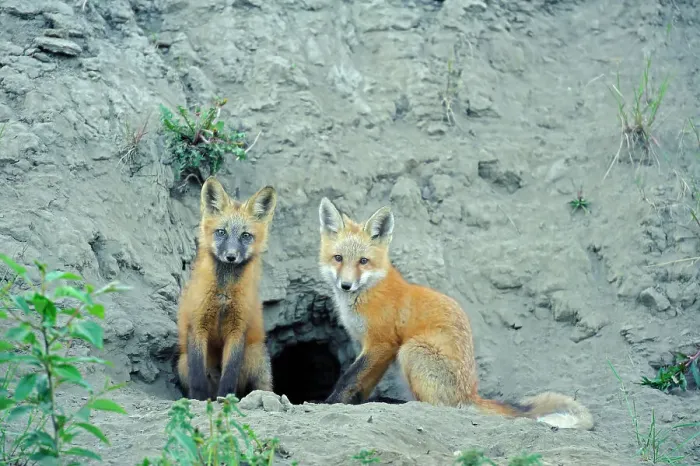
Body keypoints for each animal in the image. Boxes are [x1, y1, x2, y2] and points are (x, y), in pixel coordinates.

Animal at [176, 177, 277, 401]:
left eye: (245, 235)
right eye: (221, 232)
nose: (231, 256)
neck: (224, 294)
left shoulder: (238, 328)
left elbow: (229, 373)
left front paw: (225, 399)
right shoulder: (197, 324)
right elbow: (198, 376)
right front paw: (198, 399)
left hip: (254, 354)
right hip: (182, 364)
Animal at [317, 197, 594, 430]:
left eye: (363, 261)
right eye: (338, 258)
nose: (346, 285)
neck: (370, 291)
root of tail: (470, 394)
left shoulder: (382, 343)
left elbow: (350, 377)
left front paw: (329, 402)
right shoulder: (372, 347)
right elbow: (362, 382)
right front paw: (356, 402)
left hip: (411, 350)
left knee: (436, 407)